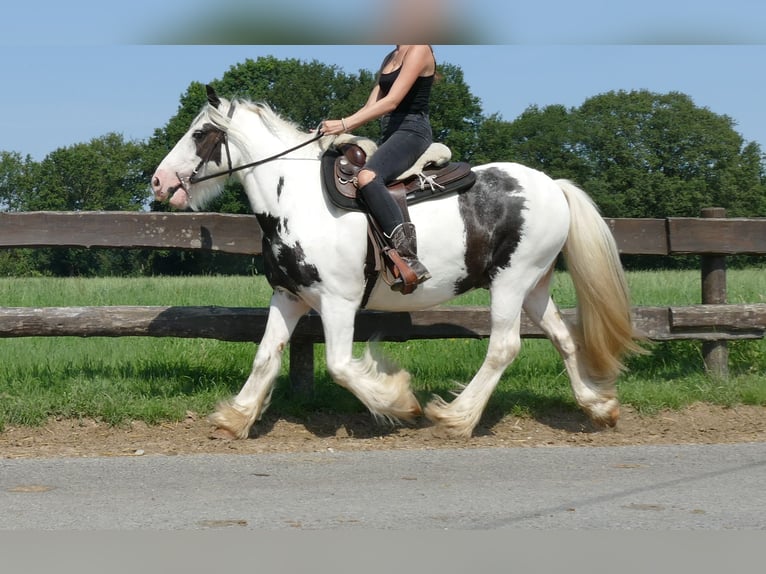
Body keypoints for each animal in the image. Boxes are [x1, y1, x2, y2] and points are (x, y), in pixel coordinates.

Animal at [150, 86, 640, 440]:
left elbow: (340, 366)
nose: (158, 180)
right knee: (564, 338)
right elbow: (265, 356)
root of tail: (553, 186)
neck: (296, 199)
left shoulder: (338, 302)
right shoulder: (289, 296)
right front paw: (236, 417)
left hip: (510, 282)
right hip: (535, 286)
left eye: (199, 133)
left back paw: (456, 417)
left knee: (504, 348)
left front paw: (399, 402)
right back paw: (599, 407)